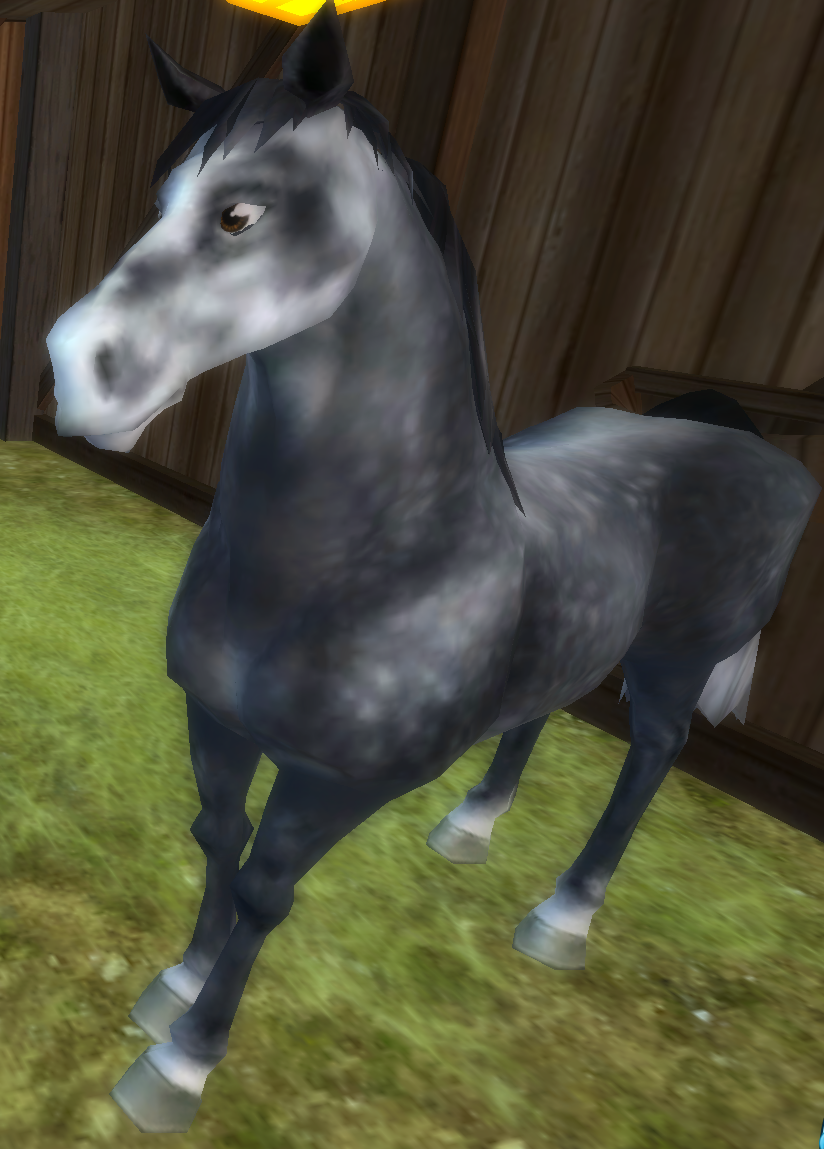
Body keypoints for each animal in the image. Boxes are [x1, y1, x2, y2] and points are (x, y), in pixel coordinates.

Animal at [44, 1, 820, 1134]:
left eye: (240, 212)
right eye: (156, 202)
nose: (74, 371)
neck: (370, 554)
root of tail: (747, 438)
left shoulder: (342, 781)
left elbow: (264, 886)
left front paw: (181, 1063)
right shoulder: (216, 718)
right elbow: (216, 834)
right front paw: (175, 981)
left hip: (677, 657)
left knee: (654, 753)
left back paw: (563, 917)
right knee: (546, 710)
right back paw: (471, 827)